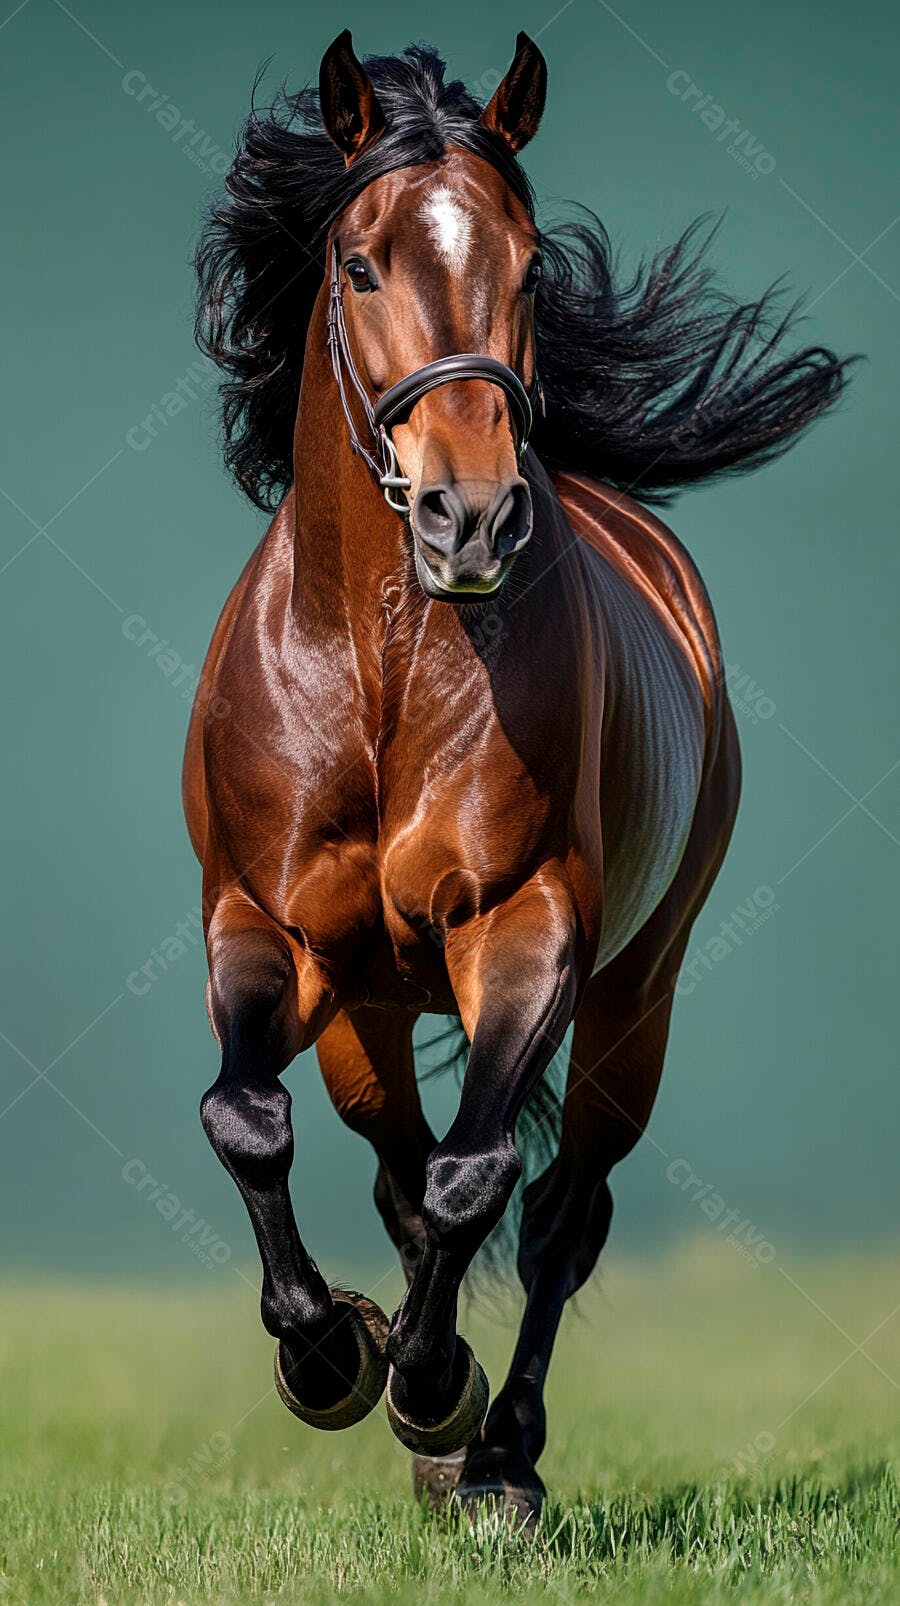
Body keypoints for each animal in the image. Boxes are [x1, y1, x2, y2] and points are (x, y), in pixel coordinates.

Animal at [184, 31, 849, 1526]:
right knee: (393, 1158)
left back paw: (497, 1453)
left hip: (636, 992)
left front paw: (436, 1388)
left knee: (561, 1211)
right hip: (371, 1005)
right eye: (358, 262)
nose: (470, 514)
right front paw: (330, 1353)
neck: (379, 673)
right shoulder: (263, 920)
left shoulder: (528, 922)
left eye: (532, 266)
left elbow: (478, 1175)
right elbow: (250, 1117)